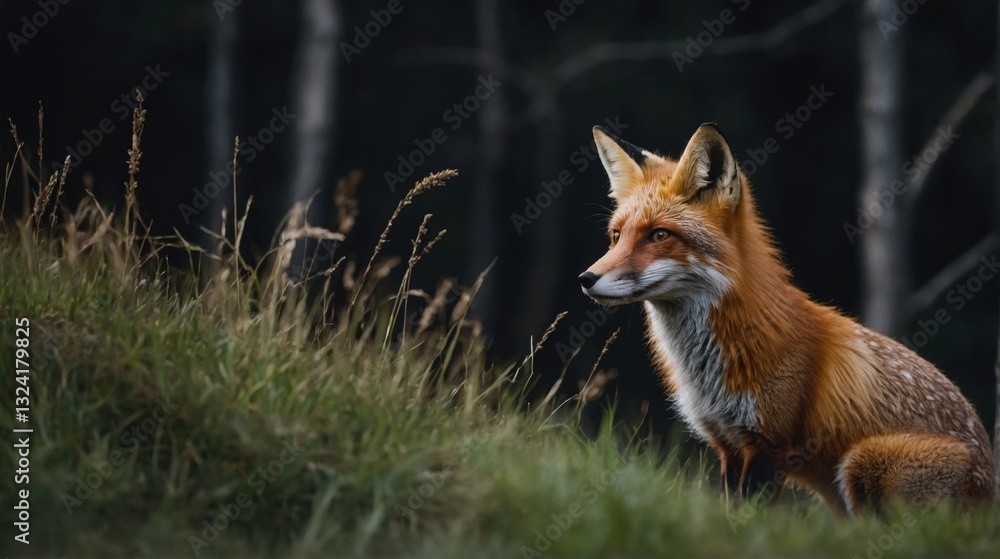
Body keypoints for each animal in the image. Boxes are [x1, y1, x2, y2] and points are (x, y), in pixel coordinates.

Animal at [578, 123, 995, 514]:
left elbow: (750, 515)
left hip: (862, 460)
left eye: (659, 235)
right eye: (616, 236)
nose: (586, 278)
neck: (711, 366)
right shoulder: (728, 444)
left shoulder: (770, 444)